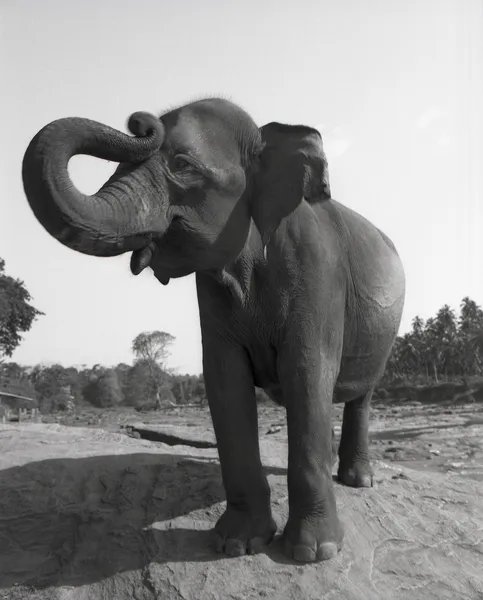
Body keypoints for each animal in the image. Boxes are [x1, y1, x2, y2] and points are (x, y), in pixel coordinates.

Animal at [23, 96, 408, 560]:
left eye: (183, 164)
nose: (140, 121)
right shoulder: (211, 289)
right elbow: (225, 379)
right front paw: (236, 543)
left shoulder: (318, 271)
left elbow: (307, 371)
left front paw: (313, 553)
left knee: (360, 396)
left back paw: (358, 480)